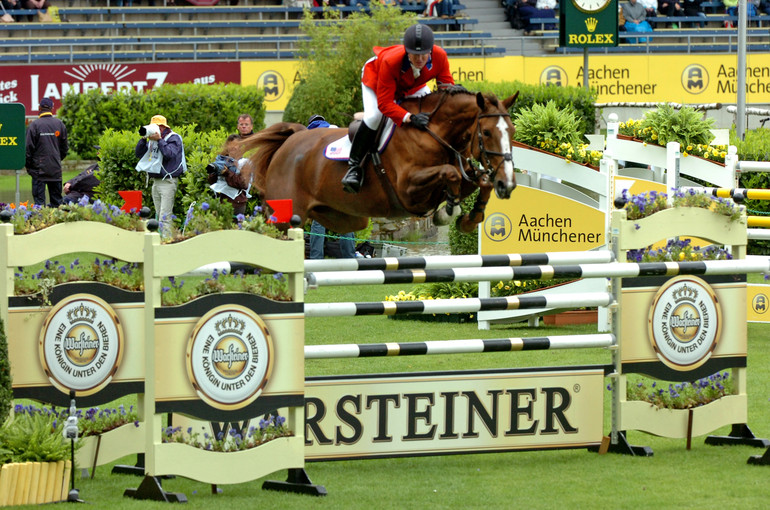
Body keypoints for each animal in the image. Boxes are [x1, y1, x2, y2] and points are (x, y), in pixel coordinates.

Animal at [243, 90, 512, 235]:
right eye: (487, 132)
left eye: (511, 129)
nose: (507, 185)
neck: (431, 133)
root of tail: (292, 139)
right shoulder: (408, 190)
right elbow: (450, 173)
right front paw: (449, 211)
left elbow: (480, 182)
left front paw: (470, 218)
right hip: (286, 214)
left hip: (343, 217)